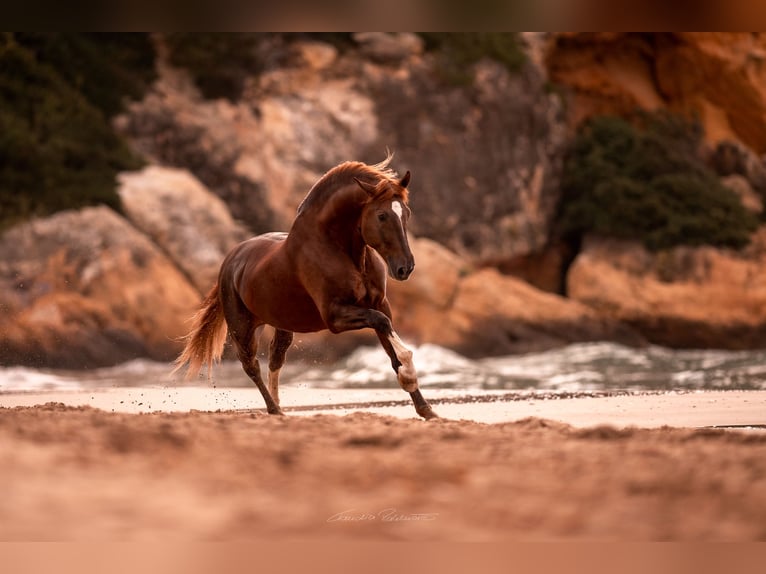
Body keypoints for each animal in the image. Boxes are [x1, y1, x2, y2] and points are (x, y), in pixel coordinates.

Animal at [173, 160, 438, 420]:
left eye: (406, 213)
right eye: (382, 215)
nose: (405, 268)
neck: (338, 248)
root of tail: (230, 260)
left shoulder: (379, 303)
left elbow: (392, 351)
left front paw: (426, 409)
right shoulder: (335, 316)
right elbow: (383, 325)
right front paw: (410, 376)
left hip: (281, 325)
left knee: (275, 359)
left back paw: (279, 409)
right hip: (243, 328)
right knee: (251, 365)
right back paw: (273, 409)